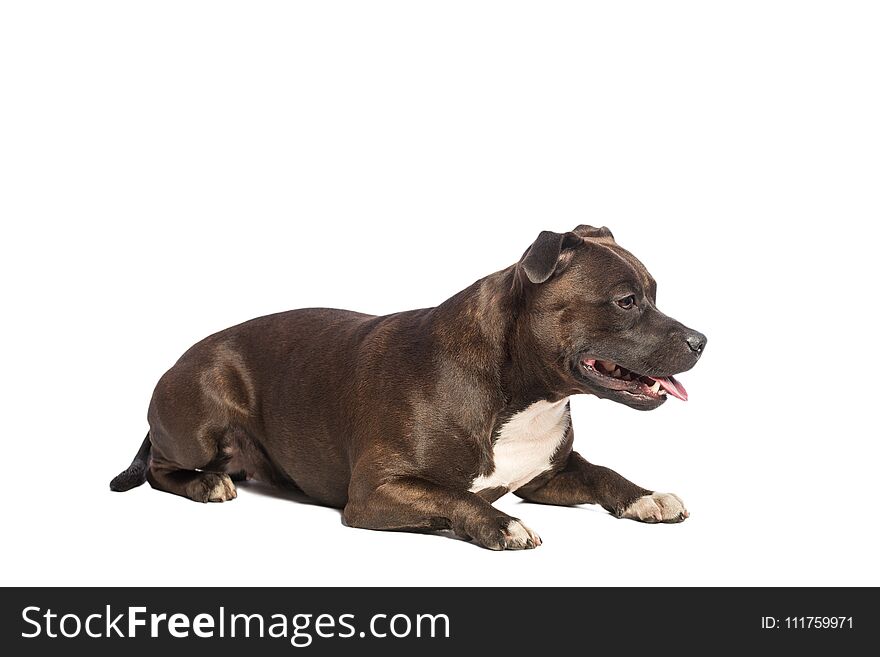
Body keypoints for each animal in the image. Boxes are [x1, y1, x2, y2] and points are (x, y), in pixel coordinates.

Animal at [110, 226, 704, 548]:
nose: (701, 340)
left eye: (654, 293)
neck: (520, 392)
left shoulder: (546, 474)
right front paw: (503, 524)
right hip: (200, 417)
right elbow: (453, 495)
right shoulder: (377, 491)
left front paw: (646, 497)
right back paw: (206, 483)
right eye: (627, 301)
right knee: (162, 467)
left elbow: (603, 472)